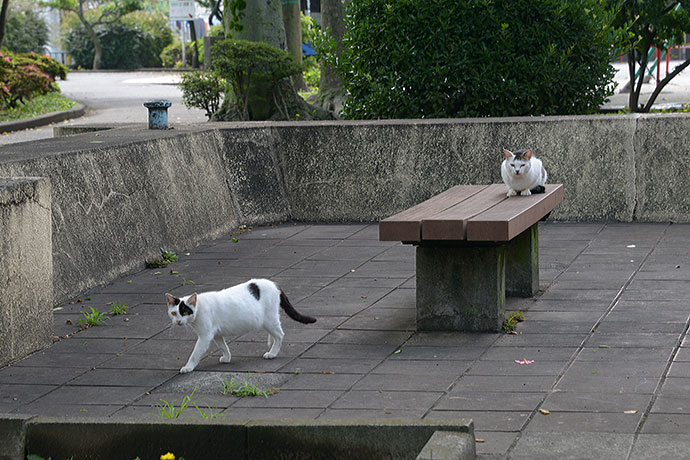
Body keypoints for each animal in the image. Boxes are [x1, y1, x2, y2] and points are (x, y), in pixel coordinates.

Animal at [165, 276, 316, 374]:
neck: (199, 307)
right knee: (275, 334)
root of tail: (274, 284)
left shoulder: (204, 337)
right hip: (268, 322)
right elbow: (223, 347)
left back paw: (272, 353)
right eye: (174, 313)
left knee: (280, 335)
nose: (178, 321)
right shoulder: (217, 335)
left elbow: (195, 354)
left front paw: (188, 367)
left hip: (269, 320)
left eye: (185, 312)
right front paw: (227, 358)